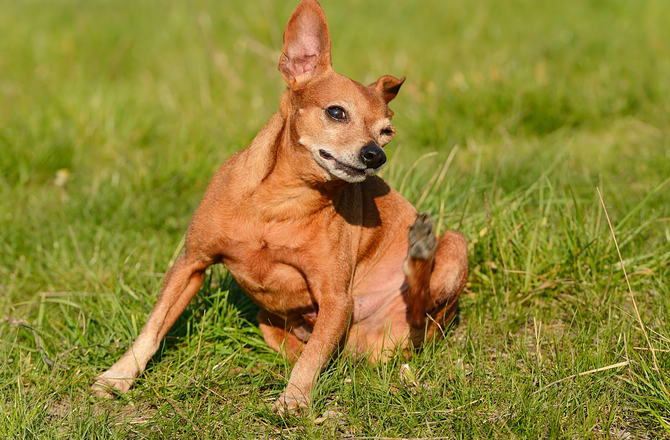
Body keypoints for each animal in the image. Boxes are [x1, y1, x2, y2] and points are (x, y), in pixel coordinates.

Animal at [93, 0, 468, 412]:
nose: (376, 155)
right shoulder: (191, 264)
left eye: (387, 132)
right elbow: (154, 327)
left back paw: (421, 247)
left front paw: (294, 400)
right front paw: (118, 377)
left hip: (453, 249)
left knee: (419, 302)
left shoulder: (337, 300)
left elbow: (313, 356)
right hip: (265, 320)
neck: (282, 202)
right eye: (337, 112)